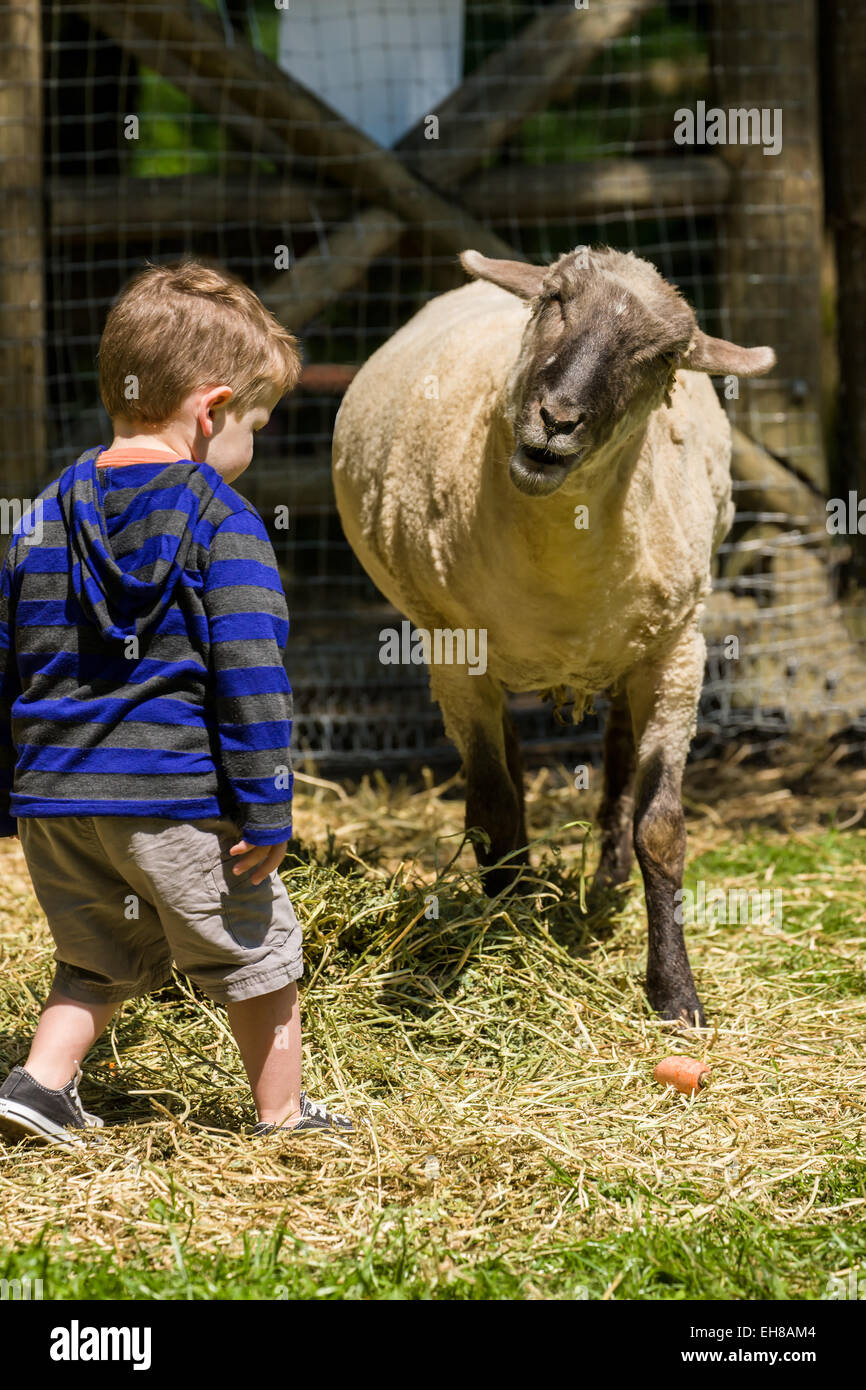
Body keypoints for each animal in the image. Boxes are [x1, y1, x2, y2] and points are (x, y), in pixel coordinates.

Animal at [333, 244, 778, 1023]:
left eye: (664, 356)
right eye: (555, 300)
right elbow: (491, 808)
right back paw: (526, 883)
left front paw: (675, 994)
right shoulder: (453, 652)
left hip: (636, 646)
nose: (557, 419)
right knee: (509, 763)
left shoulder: (678, 649)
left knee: (620, 753)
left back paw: (607, 877)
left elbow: (662, 827)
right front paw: (505, 930)